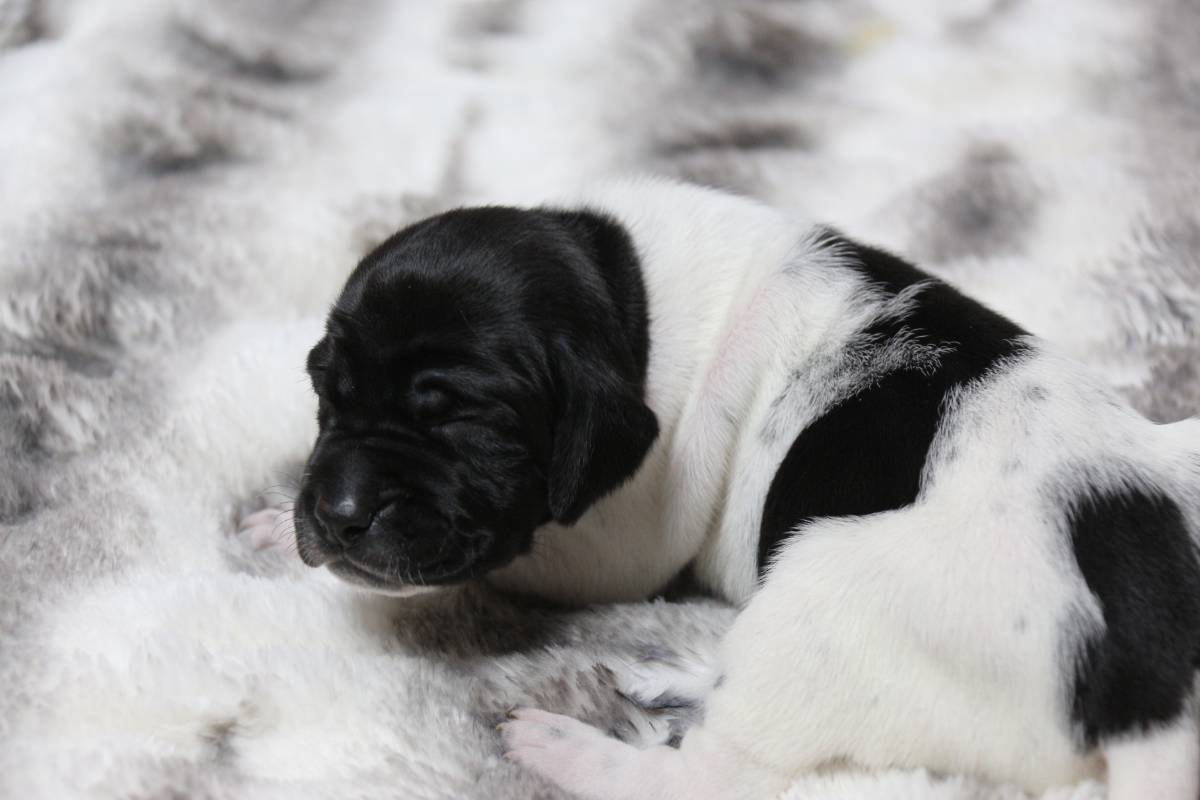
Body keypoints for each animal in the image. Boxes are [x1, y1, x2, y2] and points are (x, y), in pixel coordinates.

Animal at [245, 177, 1200, 798]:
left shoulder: (618, 540)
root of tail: (1150, 684)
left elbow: (498, 560)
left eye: (463, 423)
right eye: (326, 393)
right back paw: (682, 676)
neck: (620, 290)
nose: (336, 512)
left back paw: (567, 750)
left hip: (823, 598)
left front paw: (277, 535)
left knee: (707, 776)